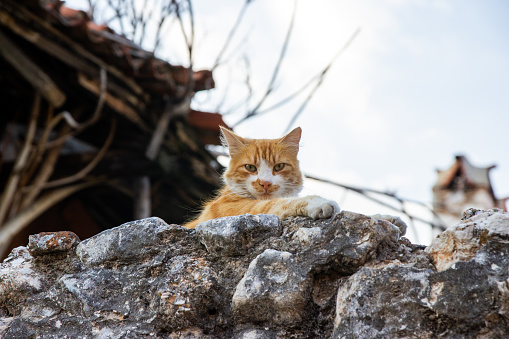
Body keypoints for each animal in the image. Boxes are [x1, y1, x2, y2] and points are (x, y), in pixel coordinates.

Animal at [185, 127, 340, 228]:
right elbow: (276, 203)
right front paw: (320, 203)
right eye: (250, 167)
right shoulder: (234, 209)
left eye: (279, 166)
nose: (265, 183)